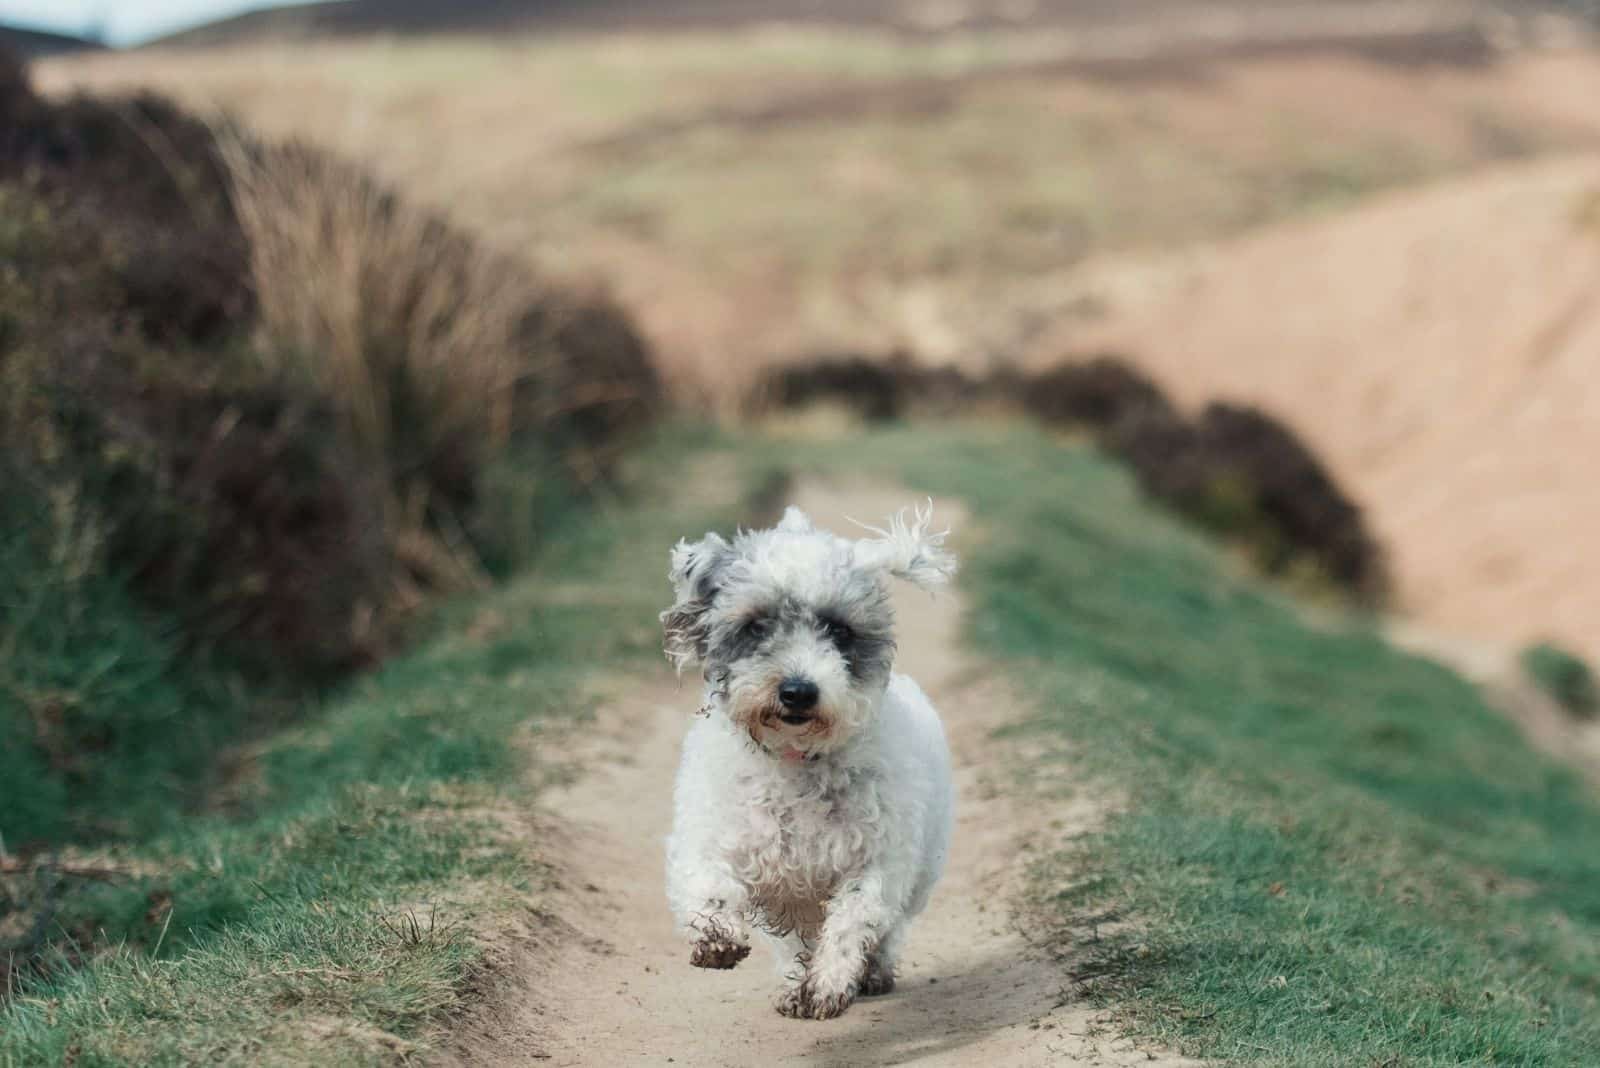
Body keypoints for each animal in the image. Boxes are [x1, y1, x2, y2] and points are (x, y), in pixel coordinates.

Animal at [659, 502, 947, 1016]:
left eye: (839, 629)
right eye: (756, 625)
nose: (797, 690)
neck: (794, 761)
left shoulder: (877, 861)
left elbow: (854, 918)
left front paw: (831, 982)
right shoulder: (719, 839)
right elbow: (708, 882)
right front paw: (718, 936)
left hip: (916, 876)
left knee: (886, 930)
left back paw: (871, 974)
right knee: (796, 939)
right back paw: (794, 986)